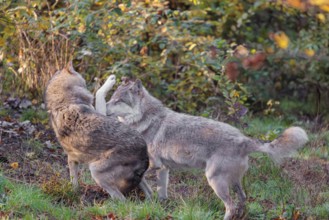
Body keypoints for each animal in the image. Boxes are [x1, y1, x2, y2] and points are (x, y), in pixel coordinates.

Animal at [44, 62, 151, 200]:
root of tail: (143, 152)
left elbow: (73, 180)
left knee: (150, 194)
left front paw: (74, 191)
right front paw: (111, 80)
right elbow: (99, 93)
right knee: (121, 200)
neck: (65, 102)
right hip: (95, 171)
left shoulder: (72, 159)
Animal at [96, 77, 308, 218]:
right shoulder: (163, 168)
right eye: (111, 99)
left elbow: (141, 180)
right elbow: (160, 192)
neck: (144, 120)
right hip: (234, 182)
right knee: (242, 200)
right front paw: (159, 207)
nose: (102, 108)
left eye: (118, 101)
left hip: (215, 181)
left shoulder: (153, 165)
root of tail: (243, 139)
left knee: (230, 206)